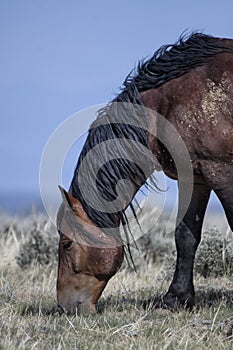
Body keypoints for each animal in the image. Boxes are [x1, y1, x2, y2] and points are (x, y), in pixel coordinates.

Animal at [55, 34, 233, 316]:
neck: (169, 106)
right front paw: (176, 299)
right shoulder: (195, 177)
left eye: (67, 244)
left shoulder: (222, 171)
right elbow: (185, 235)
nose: (64, 307)